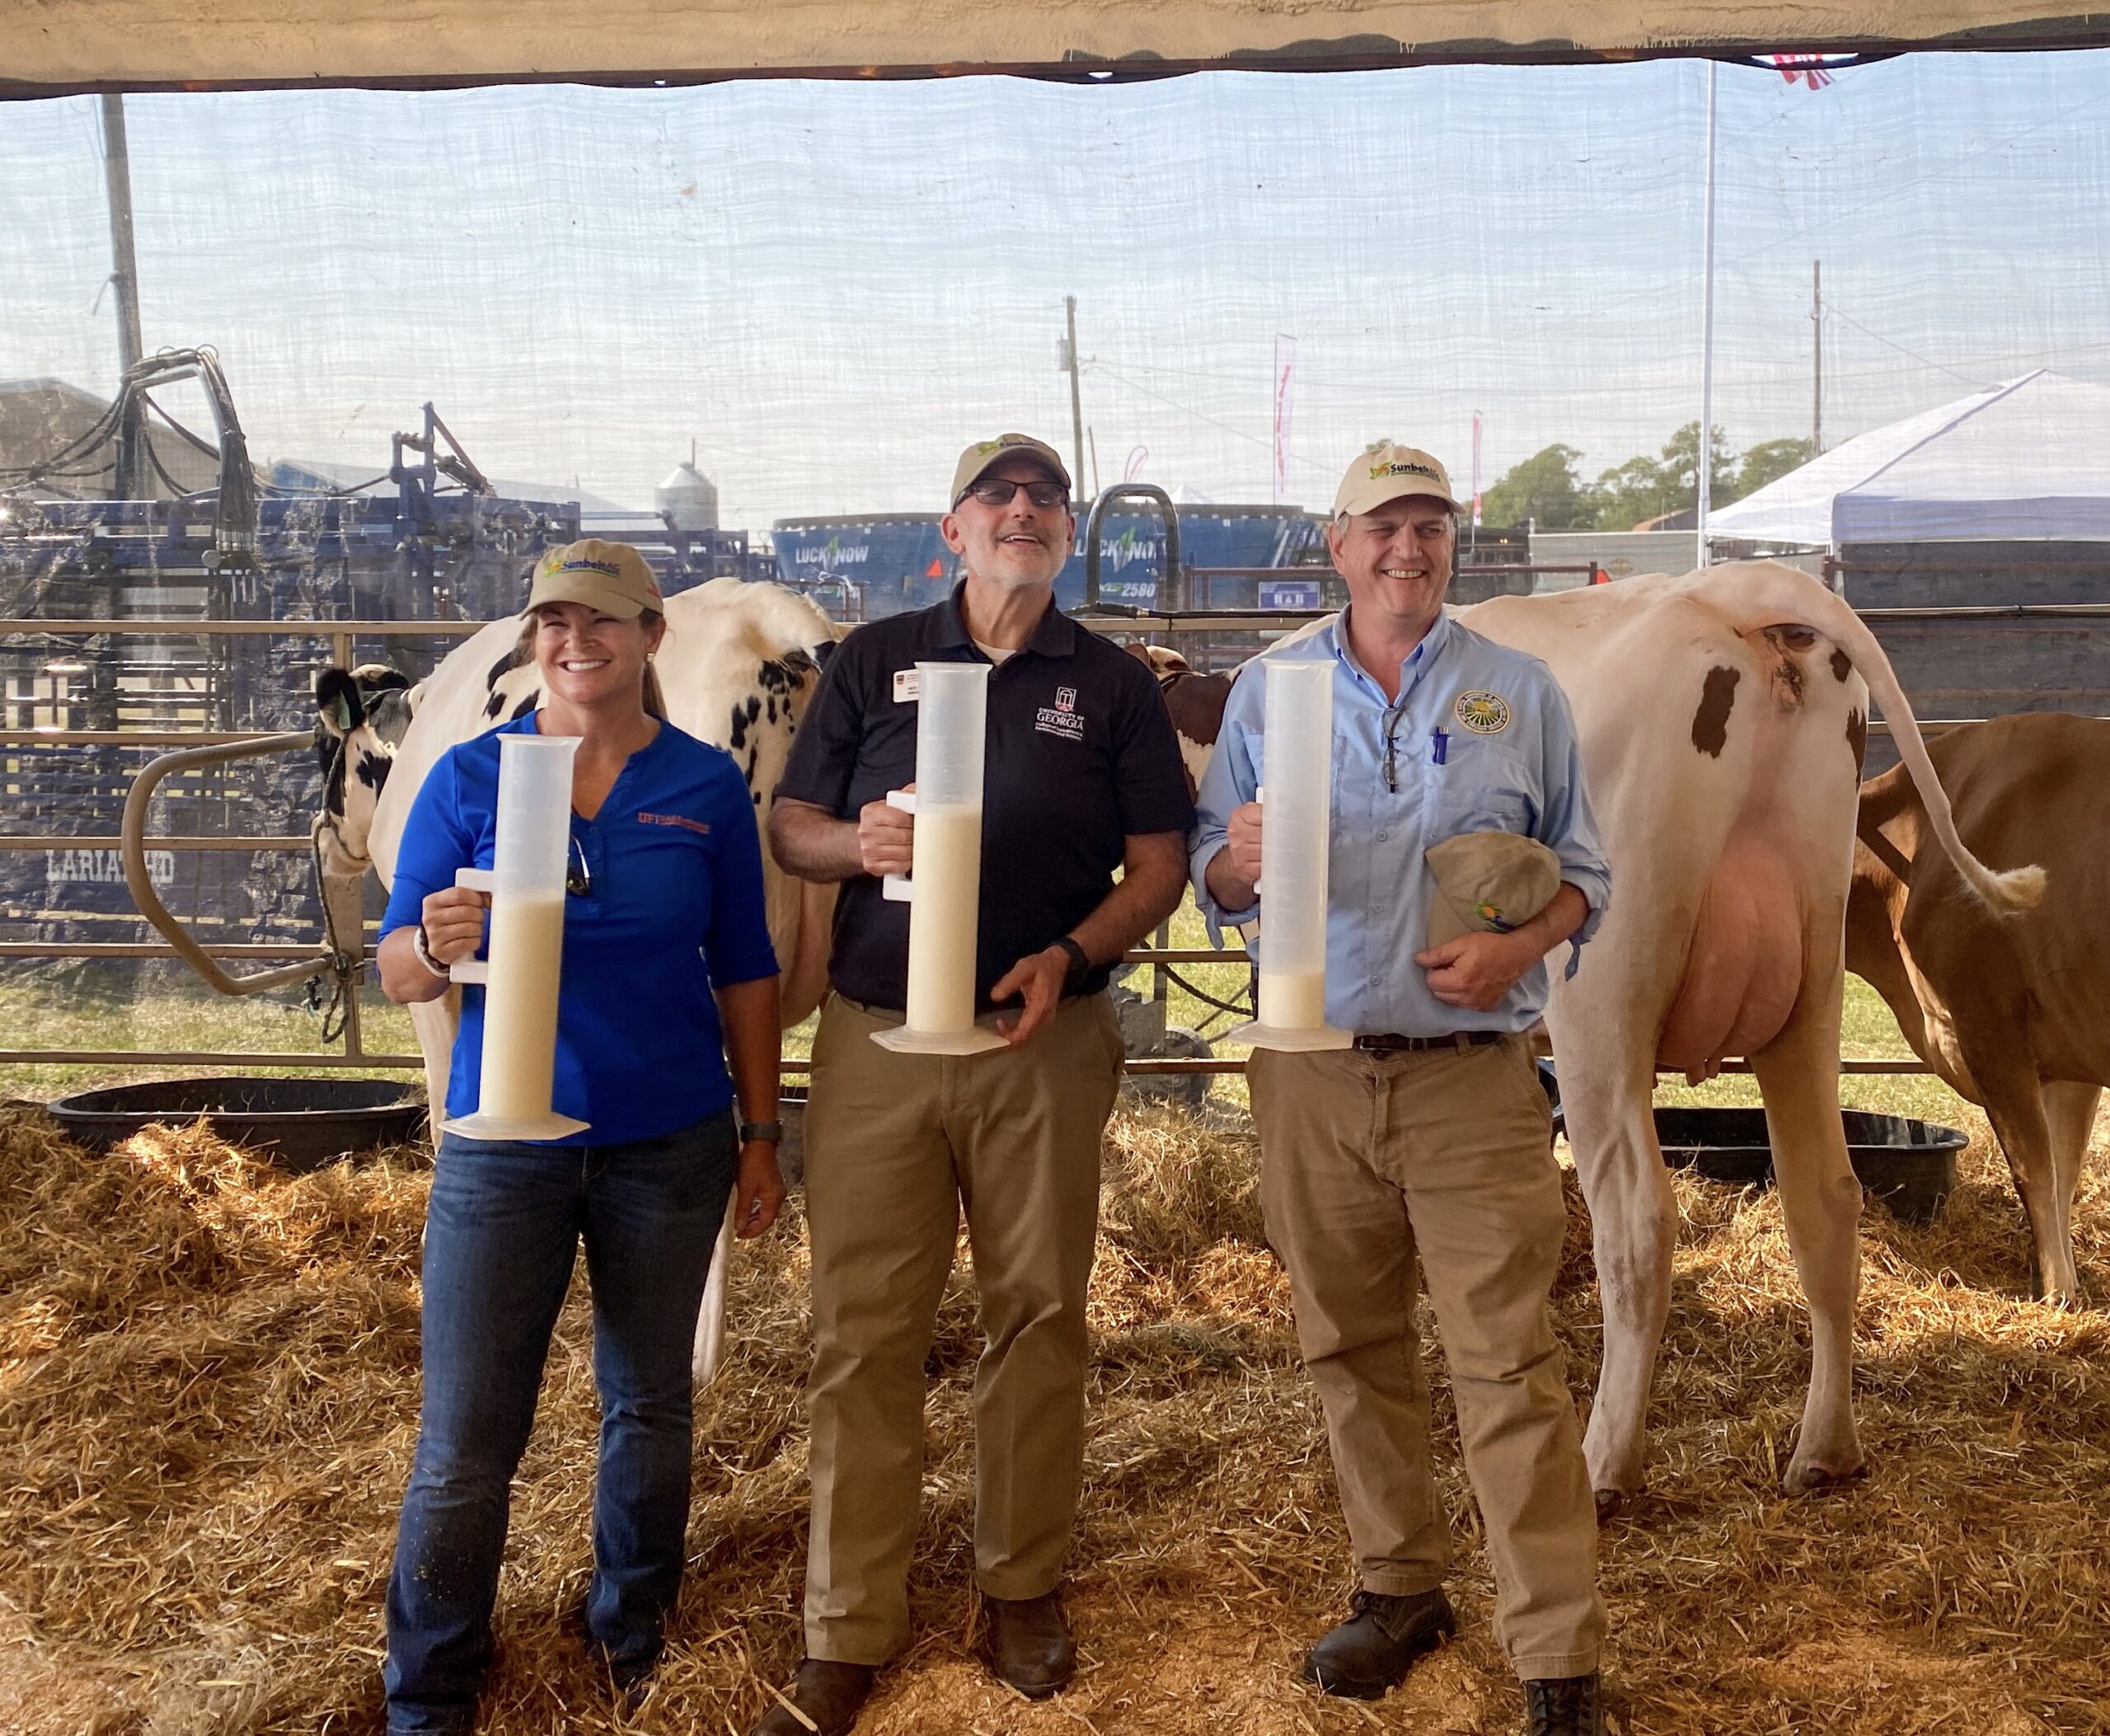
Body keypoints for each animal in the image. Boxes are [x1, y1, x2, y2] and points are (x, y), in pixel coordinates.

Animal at [1198, 565, 2033, 1510]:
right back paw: (1825, 1449)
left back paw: (1605, 1462)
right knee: (1824, 1197)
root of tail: (1736, 590)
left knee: (1636, 1220)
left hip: (1604, 1004)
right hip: (1810, 989)